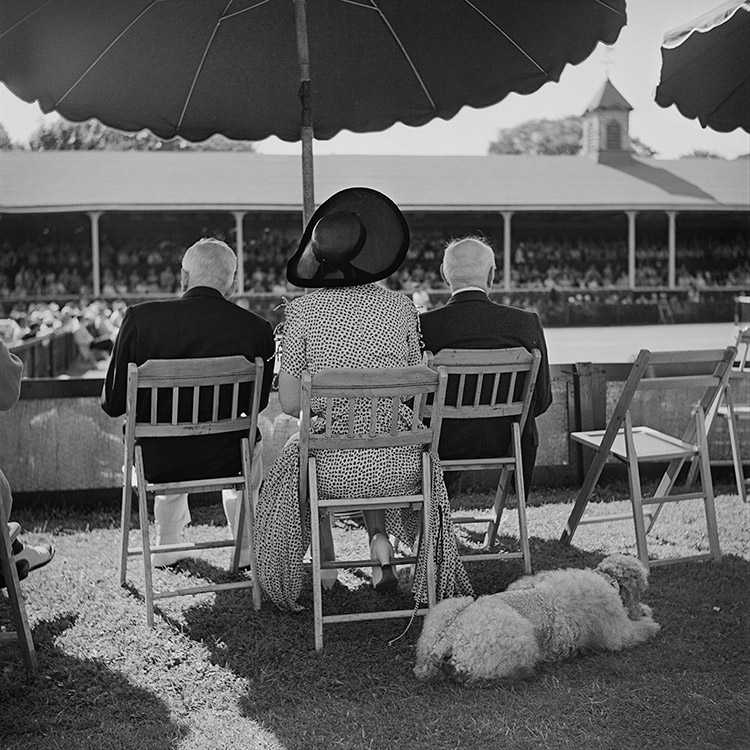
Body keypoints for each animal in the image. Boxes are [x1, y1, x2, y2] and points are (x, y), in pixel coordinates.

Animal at [414, 556, 660, 684]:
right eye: (642, 588)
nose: (640, 608)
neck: (607, 579)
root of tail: (451, 634)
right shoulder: (618, 632)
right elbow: (639, 631)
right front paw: (651, 622)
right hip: (517, 638)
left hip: (448, 609)